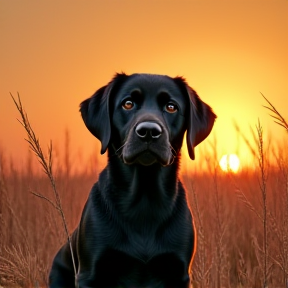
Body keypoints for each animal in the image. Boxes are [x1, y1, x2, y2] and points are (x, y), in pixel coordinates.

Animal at [49, 73, 216, 288]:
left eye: (171, 107)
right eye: (128, 104)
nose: (149, 131)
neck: (144, 199)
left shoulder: (178, 273)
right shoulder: (89, 274)